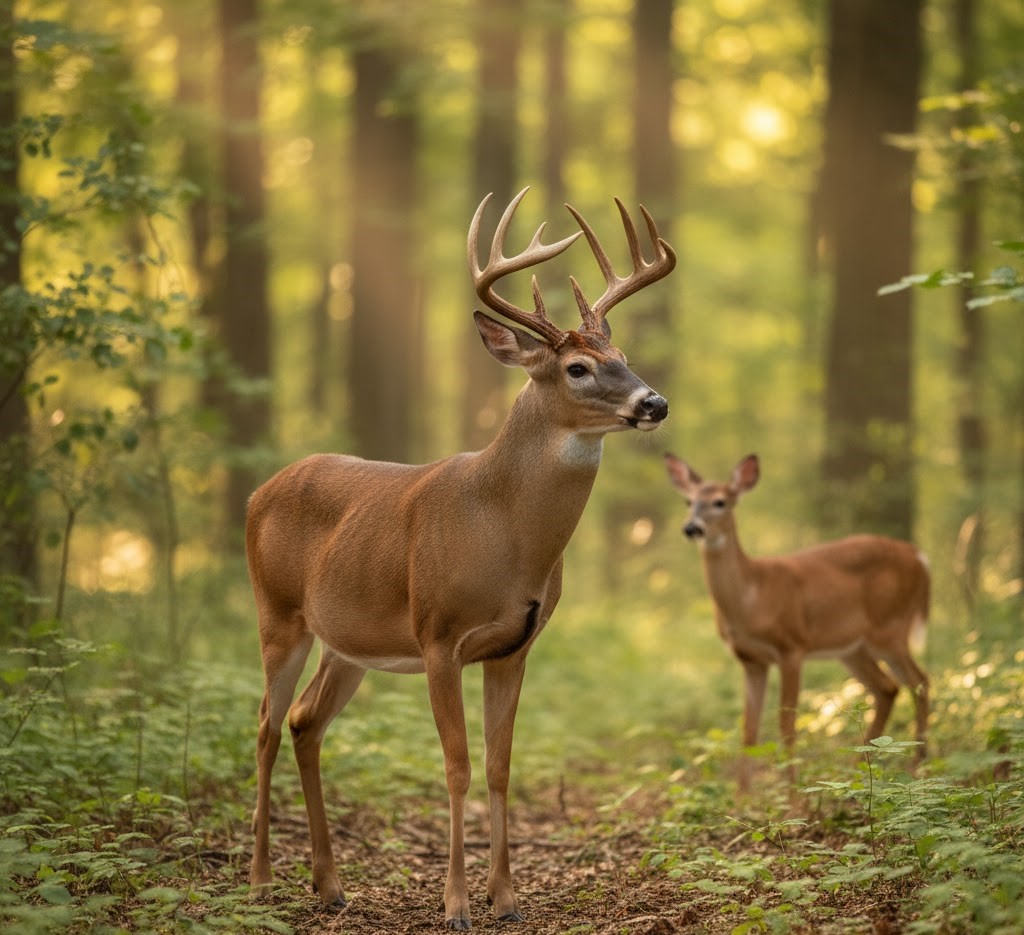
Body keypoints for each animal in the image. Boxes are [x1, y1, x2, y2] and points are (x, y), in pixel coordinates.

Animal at [246, 188, 676, 929]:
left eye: (622, 351)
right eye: (578, 367)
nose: (655, 402)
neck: (504, 530)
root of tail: (256, 491)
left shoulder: (515, 645)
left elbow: (500, 764)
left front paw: (506, 896)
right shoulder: (438, 635)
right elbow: (457, 765)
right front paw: (455, 903)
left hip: (348, 642)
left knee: (304, 723)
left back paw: (328, 882)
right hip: (278, 615)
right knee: (266, 727)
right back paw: (260, 879)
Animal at [664, 452, 930, 791]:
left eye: (720, 502)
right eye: (688, 501)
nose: (692, 528)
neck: (752, 597)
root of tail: (920, 556)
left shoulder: (792, 646)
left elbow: (786, 724)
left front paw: (794, 797)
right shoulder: (750, 659)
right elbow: (749, 729)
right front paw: (743, 799)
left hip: (890, 628)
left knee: (920, 681)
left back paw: (918, 767)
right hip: (852, 648)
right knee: (888, 688)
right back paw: (857, 774)